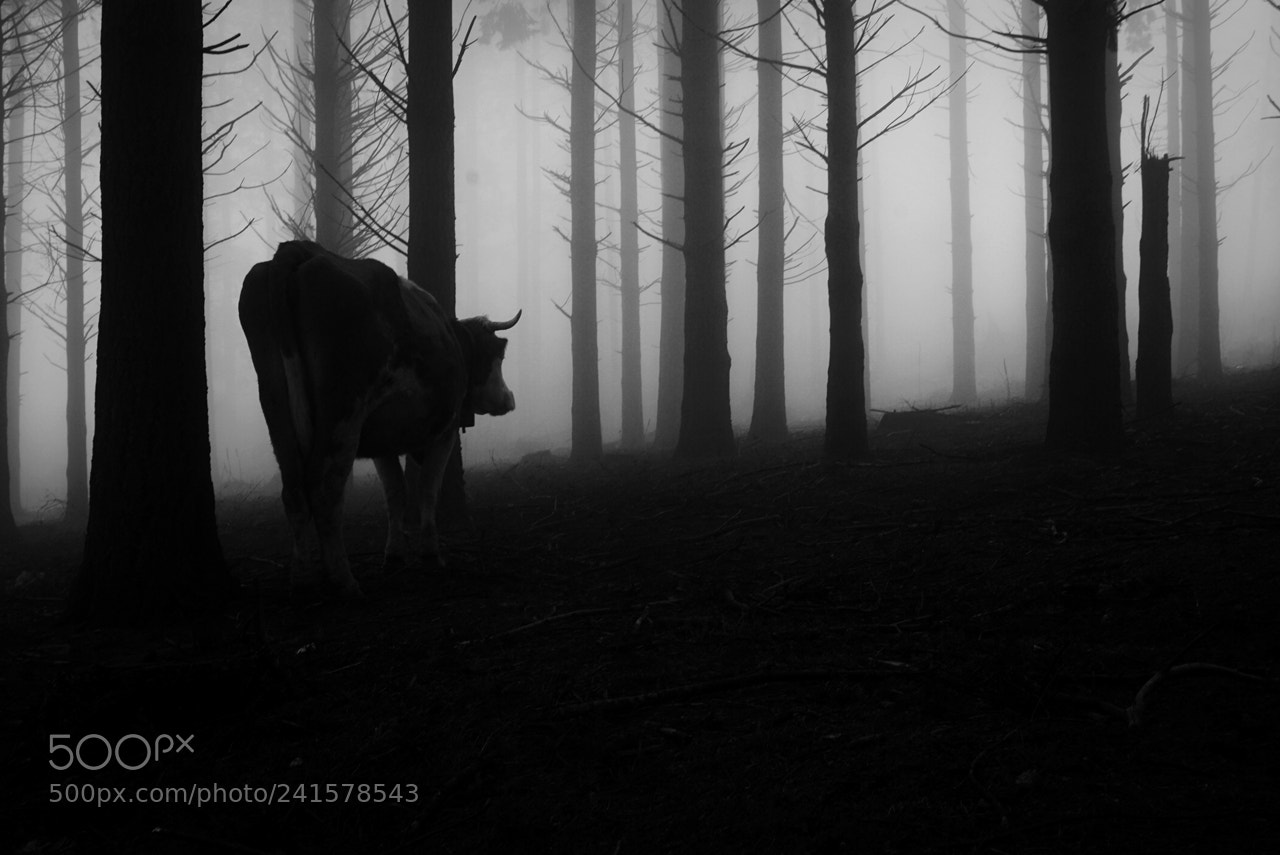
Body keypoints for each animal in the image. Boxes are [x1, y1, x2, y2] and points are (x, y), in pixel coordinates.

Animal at [239, 240, 519, 597]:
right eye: (499, 355)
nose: (509, 399)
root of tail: (299, 251)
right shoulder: (445, 431)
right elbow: (427, 489)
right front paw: (431, 554)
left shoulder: (381, 441)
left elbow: (395, 493)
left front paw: (394, 554)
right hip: (343, 413)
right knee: (324, 489)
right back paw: (344, 579)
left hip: (277, 411)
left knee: (293, 491)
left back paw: (302, 577)